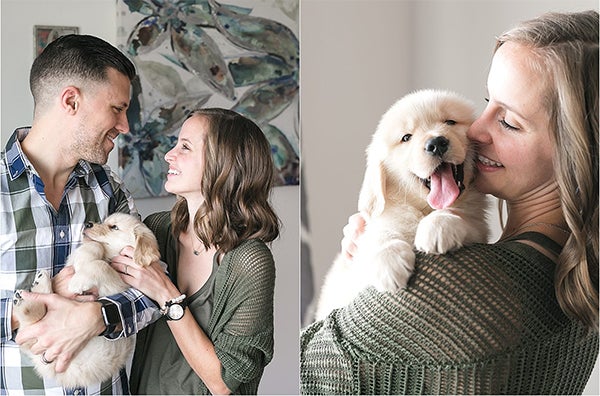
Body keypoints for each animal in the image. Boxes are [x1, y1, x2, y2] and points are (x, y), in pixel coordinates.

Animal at [14, 212, 159, 388]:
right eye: (103, 221)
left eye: (114, 227)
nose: (88, 224)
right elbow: (94, 246)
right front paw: (85, 258)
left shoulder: (121, 284)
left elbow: (101, 266)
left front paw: (78, 280)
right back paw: (37, 286)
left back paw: (26, 301)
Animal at [316, 90, 490, 322]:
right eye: (406, 137)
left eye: (450, 122)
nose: (436, 143)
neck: (423, 208)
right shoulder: (378, 227)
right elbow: (380, 235)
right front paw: (390, 264)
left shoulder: (478, 226)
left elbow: (461, 215)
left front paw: (438, 226)